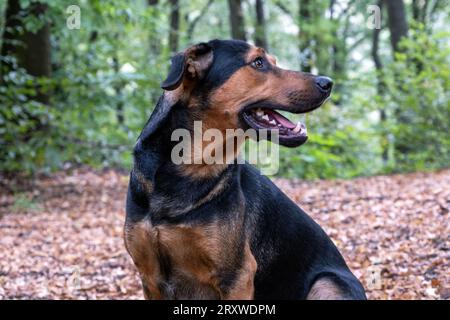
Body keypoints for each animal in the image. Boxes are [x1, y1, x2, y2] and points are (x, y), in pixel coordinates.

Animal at [125, 40, 368, 300]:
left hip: (326, 284)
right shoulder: (150, 277)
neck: (188, 166)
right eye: (258, 63)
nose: (327, 83)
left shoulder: (237, 275)